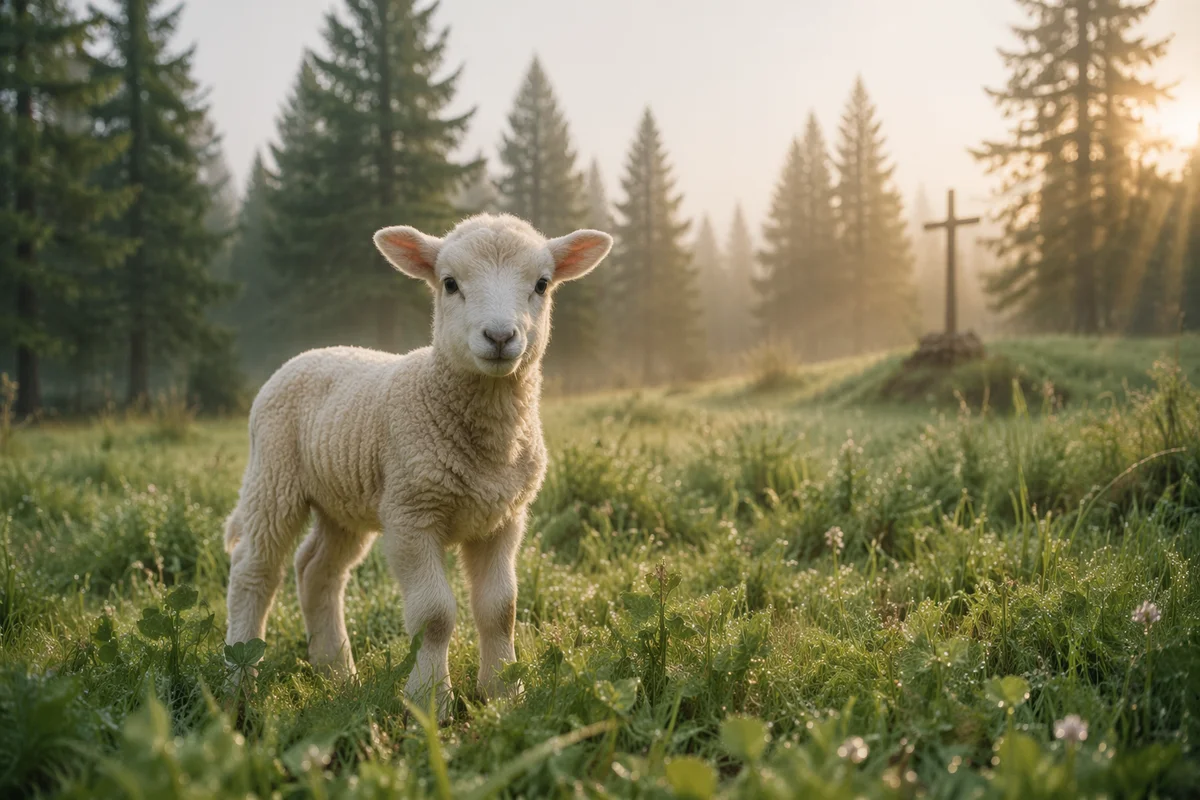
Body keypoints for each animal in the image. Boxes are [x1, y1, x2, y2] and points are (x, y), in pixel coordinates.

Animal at [223, 213, 612, 716]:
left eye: (542, 284)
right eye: (450, 283)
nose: (500, 337)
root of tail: (312, 352)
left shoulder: (504, 518)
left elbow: (500, 610)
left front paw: (503, 693)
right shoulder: (412, 513)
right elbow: (434, 615)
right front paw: (431, 703)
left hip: (343, 502)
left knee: (317, 571)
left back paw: (337, 675)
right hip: (273, 474)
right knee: (254, 569)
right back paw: (239, 683)